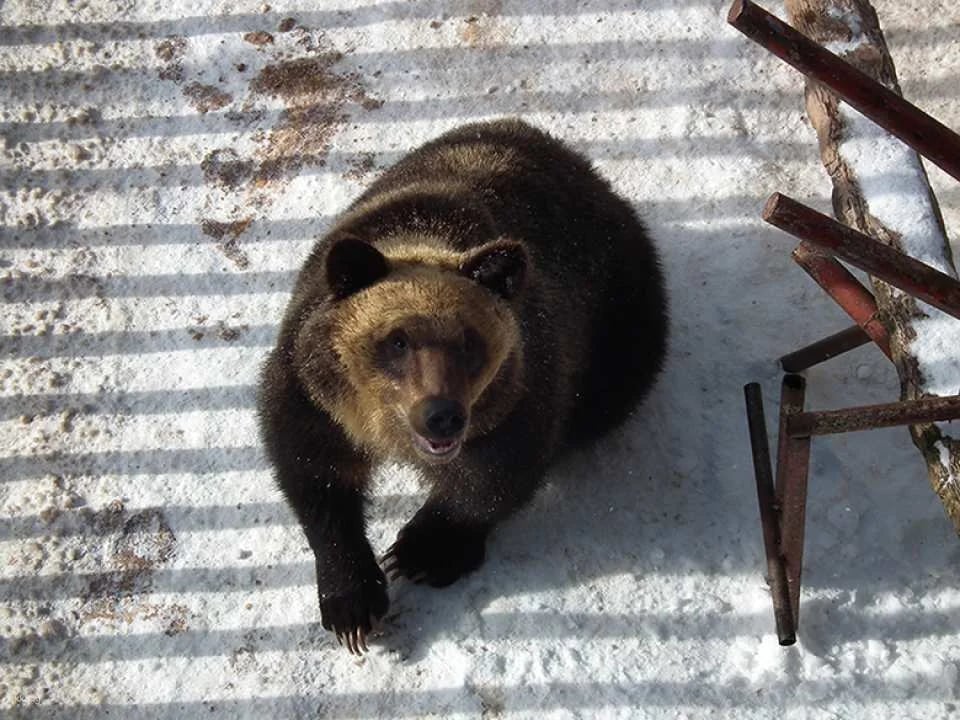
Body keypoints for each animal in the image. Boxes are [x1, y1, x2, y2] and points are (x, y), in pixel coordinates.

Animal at [257, 118, 668, 654]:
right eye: (396, 340)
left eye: (472, 341)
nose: (441, 416)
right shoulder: (314, 393)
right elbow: (314, 475)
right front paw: (352, 604)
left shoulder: (522, 390)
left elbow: (494, 476)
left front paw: (421, 550)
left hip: (620, 329)